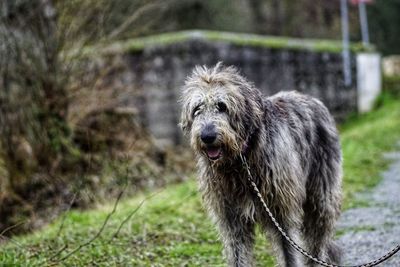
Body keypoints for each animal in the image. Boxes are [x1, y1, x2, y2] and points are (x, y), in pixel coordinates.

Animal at [180, 63, 342, 267]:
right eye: (197, 109)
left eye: (222, 106)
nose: (207, 136)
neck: (241, 161)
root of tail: (313, 99)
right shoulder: (232, 219)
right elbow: (238, 254)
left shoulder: (280, 211)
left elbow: (289, 253)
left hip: (321, 194)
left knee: (318, 238)